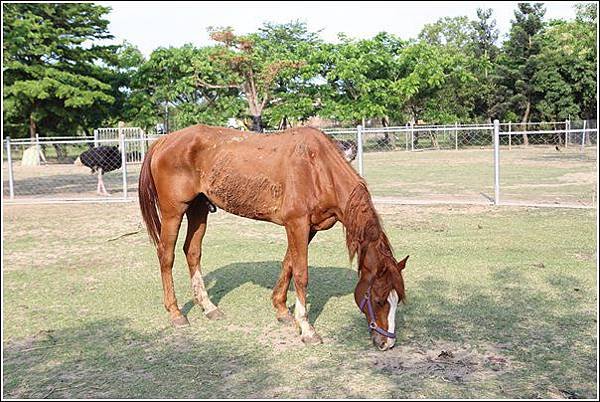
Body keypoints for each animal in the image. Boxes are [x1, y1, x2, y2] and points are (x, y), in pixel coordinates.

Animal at [138, 124, 408, 350]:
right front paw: (306, 329)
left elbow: (288, 264)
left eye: (397, 300)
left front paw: (281, 310)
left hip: (198, 209)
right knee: (166, 255)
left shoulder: (307, 228)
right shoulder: (297, 224)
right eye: (379, 299)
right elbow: (301, 274)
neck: (318, 168)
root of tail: (164, 140)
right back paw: (175, 313)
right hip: (174, 211)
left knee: (192, 252)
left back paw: (208, 307)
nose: (387, 343)